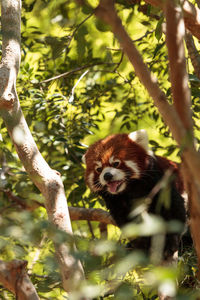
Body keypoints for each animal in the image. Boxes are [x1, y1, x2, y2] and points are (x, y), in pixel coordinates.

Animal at [82, 131, 187, 260]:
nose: (107, 176)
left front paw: (170, 241)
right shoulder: (115, 201)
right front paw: (141, 243)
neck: (129, 188)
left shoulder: (159, 180)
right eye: (99, 169)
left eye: (116, 163)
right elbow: (127, 220)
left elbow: (173, 207)